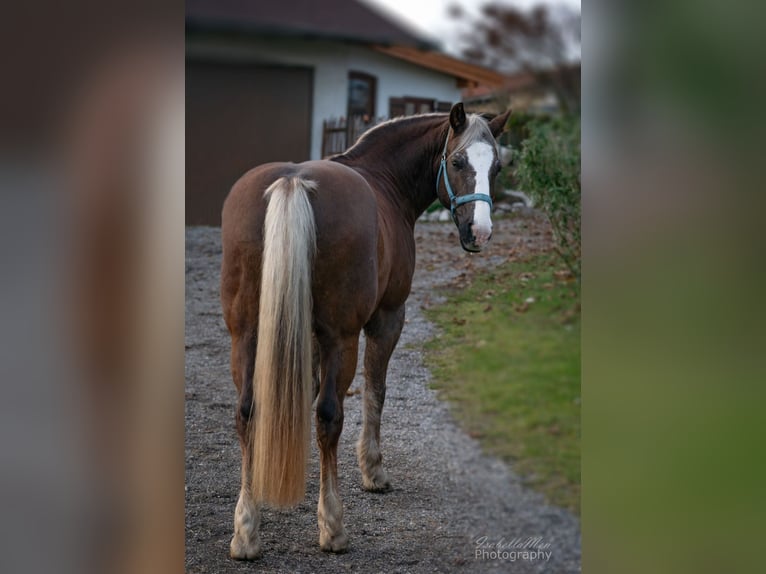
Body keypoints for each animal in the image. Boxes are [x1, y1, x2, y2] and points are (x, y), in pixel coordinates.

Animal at [220, 102, 511, 558]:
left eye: (496, 167)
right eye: (458, 162)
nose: (479, 233)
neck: (382, 177)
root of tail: (292, 180)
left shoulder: (307, 335)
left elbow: (302, 395)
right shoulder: (387, 318)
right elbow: (375, 391)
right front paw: (372, 471)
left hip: (245, 335)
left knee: (248, 411)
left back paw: (247, 530)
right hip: (343, 336)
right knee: (329, 415)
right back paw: (333, 526)